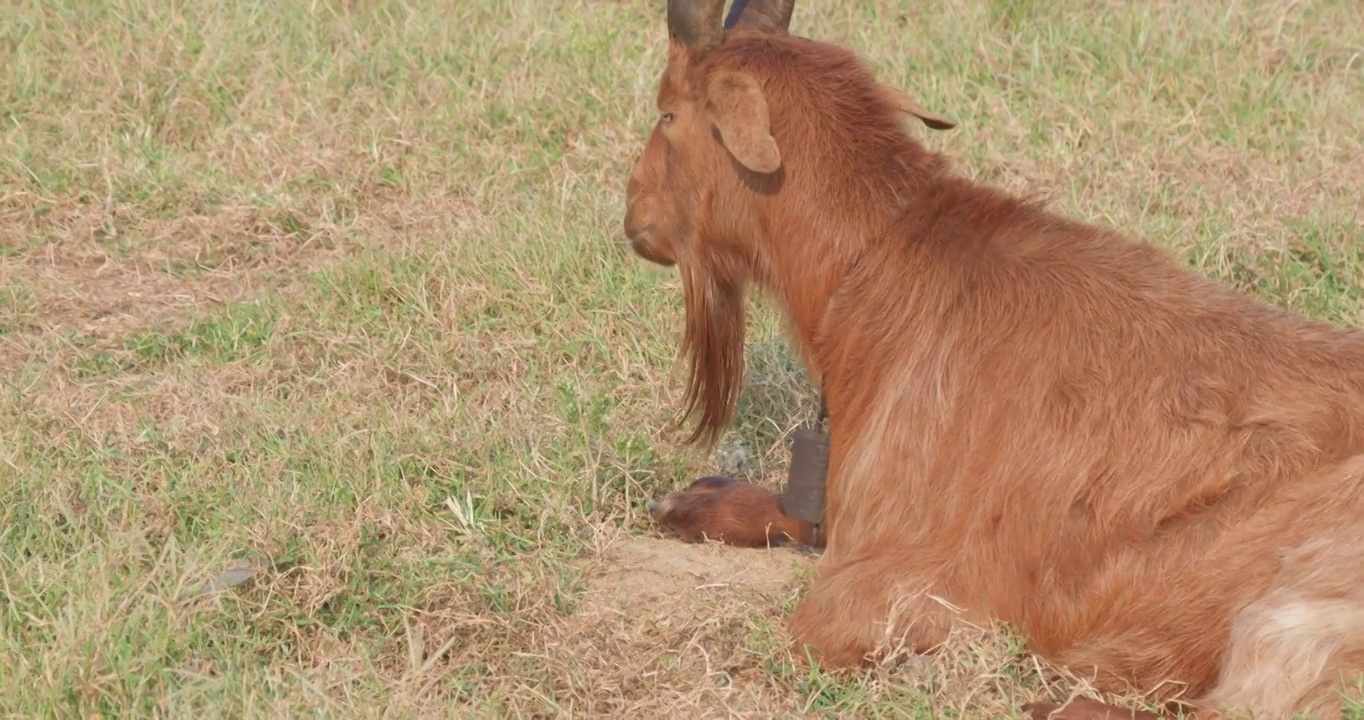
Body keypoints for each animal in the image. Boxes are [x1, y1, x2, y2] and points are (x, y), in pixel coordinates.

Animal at [624, 2, 1364, 714]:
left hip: (1290, 615)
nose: (634, 219)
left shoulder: (917, 582)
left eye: (667, 111)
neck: (882, 263)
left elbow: (811, 627)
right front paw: (693, 500)